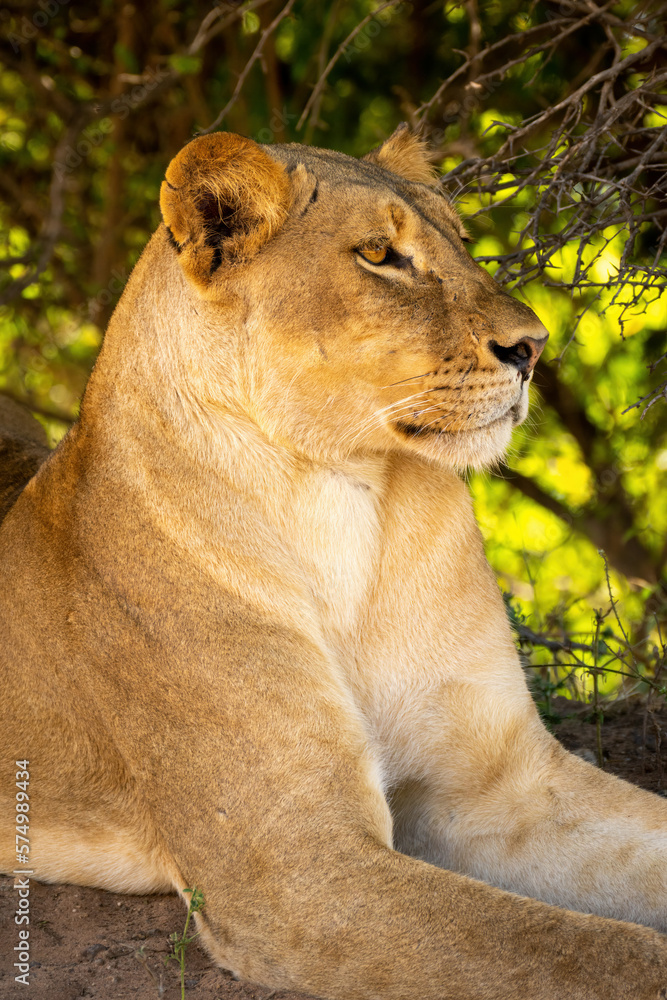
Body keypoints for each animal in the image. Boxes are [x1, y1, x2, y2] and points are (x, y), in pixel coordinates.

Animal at [1, 126, 666, 1000]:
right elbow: (584, 951)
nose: (533, 347)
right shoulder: (294, 864)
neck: (347, 505)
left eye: (461, 242)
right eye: (380, 255)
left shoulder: (502, 791)